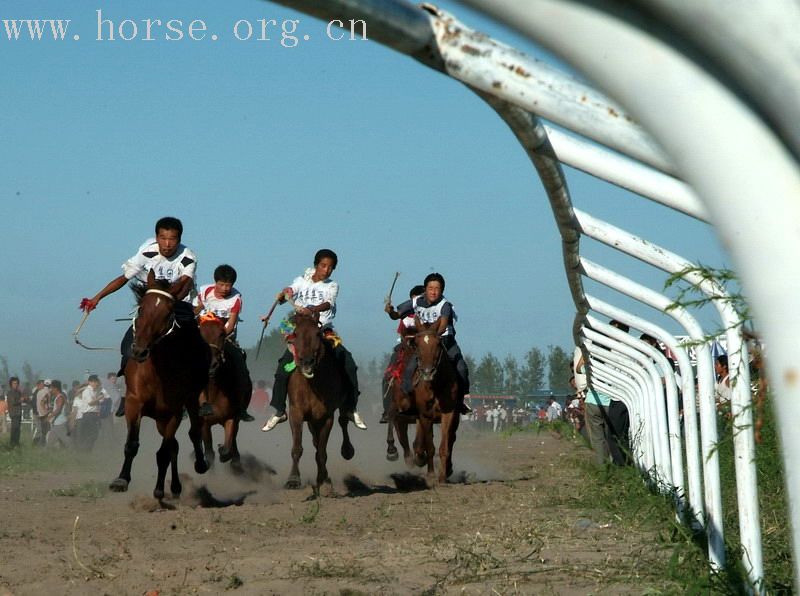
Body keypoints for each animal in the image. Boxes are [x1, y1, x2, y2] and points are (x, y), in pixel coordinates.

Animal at [108, 274, 212, 498]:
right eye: (141, 309)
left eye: (167, 314)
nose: (139, 351)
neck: (157, 374)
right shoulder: (134, 403)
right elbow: (132, 444)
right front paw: (121, 480)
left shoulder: (173, 412)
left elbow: (164, 451)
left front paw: (159, 490)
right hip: (159, 419)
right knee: (175, 445)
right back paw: (174, 486)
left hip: (188, 402)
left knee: (193, 432)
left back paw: (198, 466)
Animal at [198, 314, 252, 472]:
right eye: (199, 334)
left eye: (221, 334)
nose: (211, 365)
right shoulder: (203, 423)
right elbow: (209, 452)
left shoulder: (231, 417)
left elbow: (228, 446)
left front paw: (224, 451)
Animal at [284, 312, 354, 494]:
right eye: (295, 333)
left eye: (317, 333)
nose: (307, 361)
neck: (312, 383)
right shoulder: (296, 413)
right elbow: (297, 447)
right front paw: (293, 480)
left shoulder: (326, 417)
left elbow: (322, 452)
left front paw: (324, 482)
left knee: (343, 420)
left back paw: (347, 450)